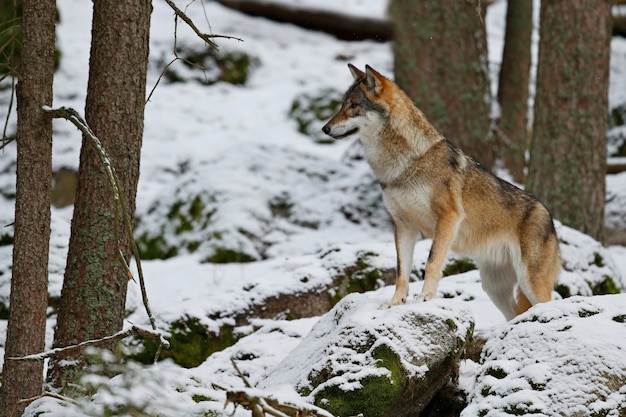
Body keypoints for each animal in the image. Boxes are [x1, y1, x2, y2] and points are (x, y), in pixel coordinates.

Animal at [322, 64, 560, 318]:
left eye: (353, 106)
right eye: (342, 104)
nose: (325, 128)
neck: (402, 166)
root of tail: (549, 216)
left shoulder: (448, 217)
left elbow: (431, 261)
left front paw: (425, 297)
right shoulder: (403, 226)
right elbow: (401, 272)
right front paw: (395, 303)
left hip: (529, 282)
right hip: (494, 288)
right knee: (515, 314)